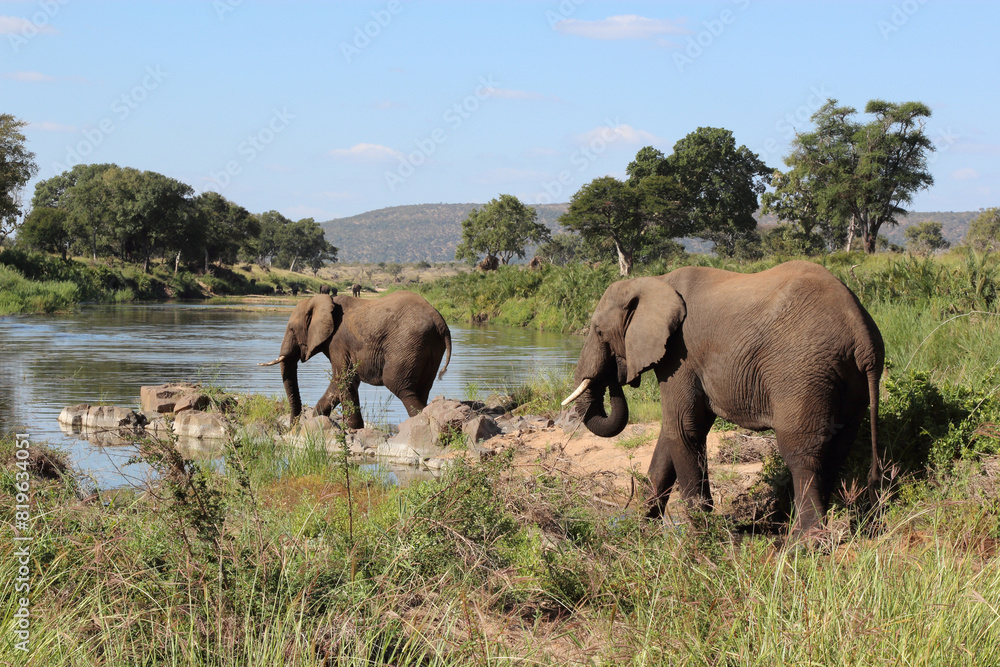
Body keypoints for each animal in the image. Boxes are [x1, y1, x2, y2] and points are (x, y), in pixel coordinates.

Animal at [260, 291, 452, 428]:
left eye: (292, 329)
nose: (293, 428)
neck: (324, 301)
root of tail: (441, 323)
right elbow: (342, 383)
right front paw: (318, 419)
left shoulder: (337, 342)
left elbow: (343, 379)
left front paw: (353, 429)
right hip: (429, 347)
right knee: (422, 389)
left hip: (407, 344)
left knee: (400, 385)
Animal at [562, 261, 884, 535]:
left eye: (598, 331)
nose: (615, 372)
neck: (654, 282)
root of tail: (861, 332)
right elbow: (671, 435)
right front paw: (642, 529)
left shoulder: (680, 355)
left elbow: (682, 428)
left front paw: (700, 533)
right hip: (847, 380)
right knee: (837, 450)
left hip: (803, 372)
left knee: (802, 454)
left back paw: (804, 544)